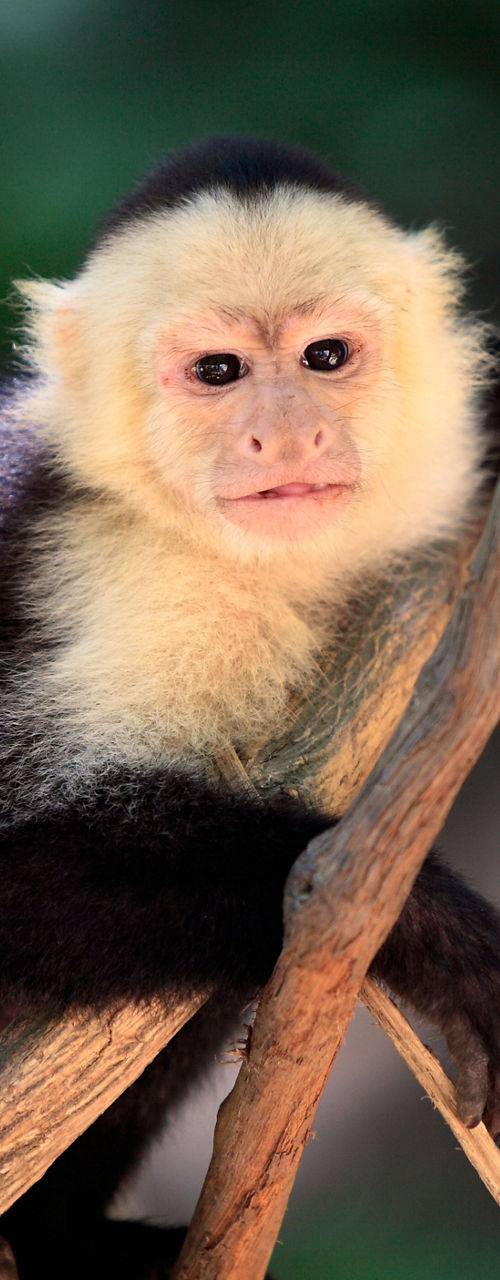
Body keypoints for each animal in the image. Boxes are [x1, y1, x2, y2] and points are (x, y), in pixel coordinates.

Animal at [0, 135, 499, 1280]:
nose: (287, 434)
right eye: (219, 372)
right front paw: (437, 931)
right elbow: (20, 867)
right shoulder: (123, 577)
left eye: (324, 357)